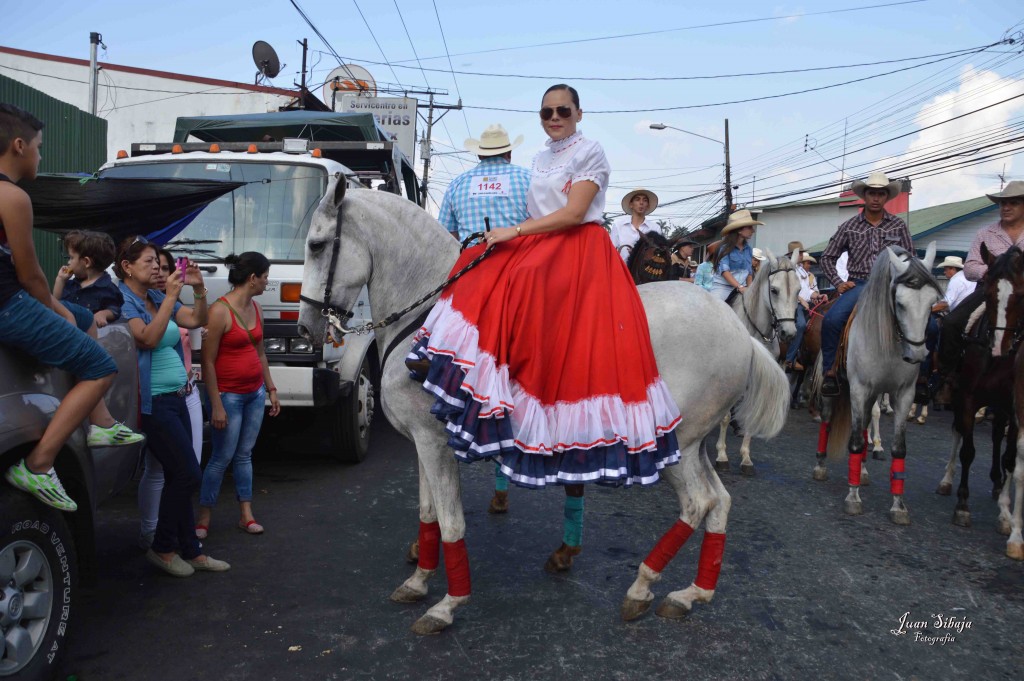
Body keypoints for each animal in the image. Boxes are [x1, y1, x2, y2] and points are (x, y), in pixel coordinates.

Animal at [712, 246, 798, 475]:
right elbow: (725, 417)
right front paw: (722, 456)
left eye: (798, 290)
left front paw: (746, 458)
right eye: (774, 290)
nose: (788, 333)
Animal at [811, 244, 937, 524]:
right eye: (900, 303)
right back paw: (820, 465)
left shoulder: (903, 395)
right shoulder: (859, 389)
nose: (918, 354)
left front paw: (898, 505)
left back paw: (863, 471)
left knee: (867, 422)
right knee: (827, 421)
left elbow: (898, 448)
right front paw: (853, 497)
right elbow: (856, 441)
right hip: (834, 391)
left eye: (932, 302)